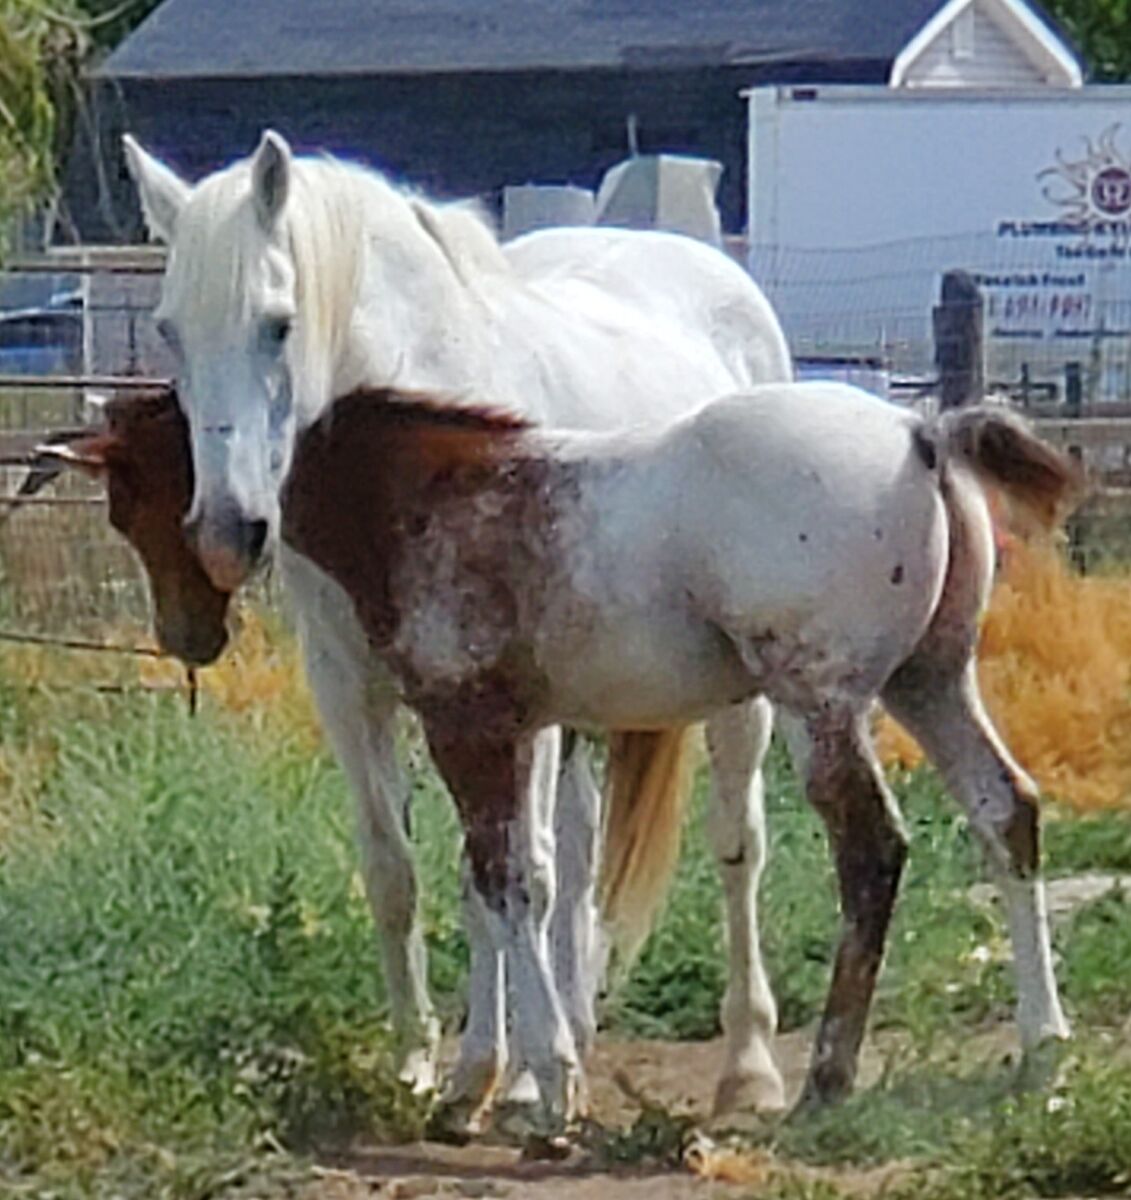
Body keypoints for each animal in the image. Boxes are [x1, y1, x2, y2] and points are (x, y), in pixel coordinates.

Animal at [49, 380, 1077, 1137]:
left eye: (125, 500)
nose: (188, 636)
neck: (423, 496)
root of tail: (919, 429)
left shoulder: (465, 723)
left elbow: (508, 881)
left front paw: (548, 1089)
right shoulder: (525, 727)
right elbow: (506, 883)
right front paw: (485, 1085)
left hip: (818, 702)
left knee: (872, 850)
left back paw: (828, 1077)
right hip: (930, 682)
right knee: (1006, 811)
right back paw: (1042, 1053)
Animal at [120, 129, 794, 1122]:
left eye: (278, 323)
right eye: (169, 329)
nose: (224, 533)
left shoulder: (502, 701)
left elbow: (514, 877)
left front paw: (517, 1073)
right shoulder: (350, 685)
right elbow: (403, 870)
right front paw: (436, 1062)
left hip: (731, 704)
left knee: (733, 844)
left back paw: (746, 1064)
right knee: (579, 855)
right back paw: (569, 1033)